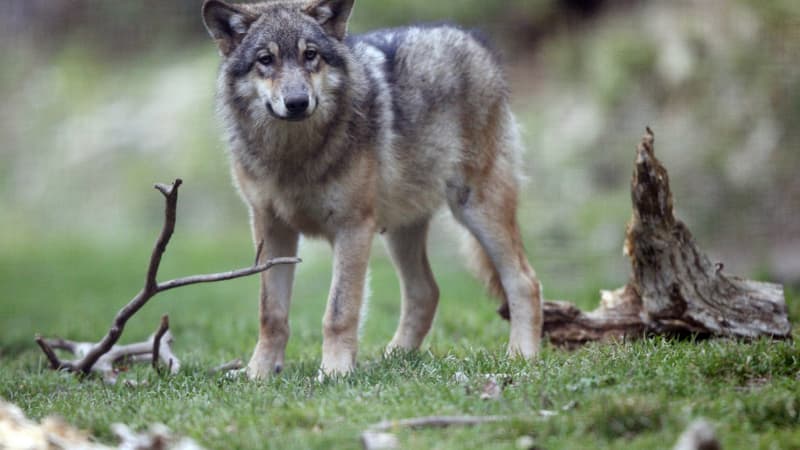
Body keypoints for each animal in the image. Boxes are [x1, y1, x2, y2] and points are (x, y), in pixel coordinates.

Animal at [202, 0, 543, 379]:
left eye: (310, 55)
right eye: (265, 59)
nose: (297, 102)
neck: (294, 155)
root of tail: (473, 38)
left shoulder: (353, 228)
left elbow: (339, 311)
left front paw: (334, 372)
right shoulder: (271, 228)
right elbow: (270, 313)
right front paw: (258, 374)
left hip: (476, 210)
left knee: (525, 282)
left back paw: (521, 357)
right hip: (400, 230)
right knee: (426, 292)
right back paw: (392, 358)